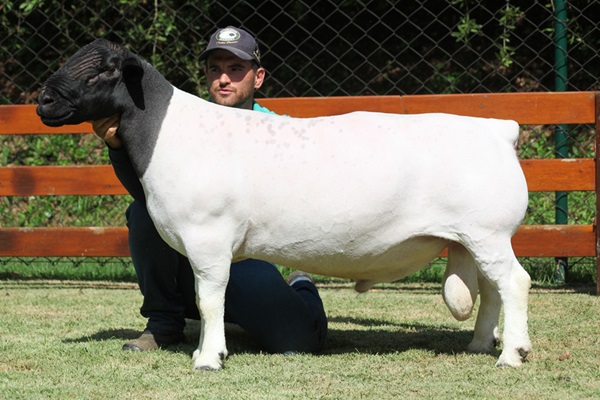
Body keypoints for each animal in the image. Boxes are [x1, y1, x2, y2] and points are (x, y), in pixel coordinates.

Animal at [36, 39, 528, 370]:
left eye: (104, 71)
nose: (43, 100)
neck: (166, 133)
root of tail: (498, 129)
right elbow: (207, 300)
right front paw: (208, 350)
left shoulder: (208, 237)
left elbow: (209, 299)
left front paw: (207, 359)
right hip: (477, 237)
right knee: (490, 290)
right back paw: (480, 345)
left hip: (488, 230)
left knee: (514, 283)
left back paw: (511, 355)